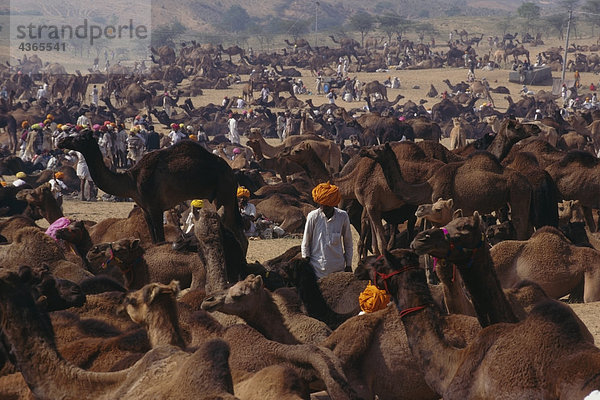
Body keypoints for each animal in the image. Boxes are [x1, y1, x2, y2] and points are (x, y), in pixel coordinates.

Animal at [55, 130, 244, 252]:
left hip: (224, 194)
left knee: (234, 228)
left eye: (79, 138)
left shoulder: (155, 206)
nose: (61, 141)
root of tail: (231, 172)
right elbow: (153, 239)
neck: (131, 180)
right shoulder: (145, 208)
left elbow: (160, 239)